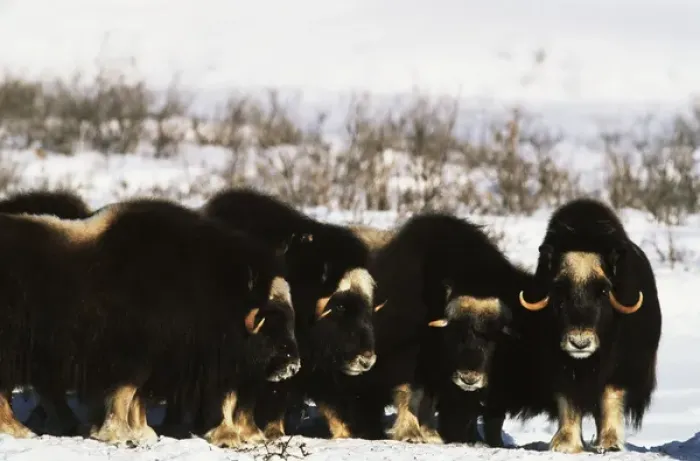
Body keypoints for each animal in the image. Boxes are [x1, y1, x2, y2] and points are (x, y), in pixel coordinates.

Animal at [0, 197, 301, 447]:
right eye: (271, 317)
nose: (292, 366)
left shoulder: (156, 359)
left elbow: (137, 400)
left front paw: (142, 432)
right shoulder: (129, 358)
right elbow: (124, 395)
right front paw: (119, 435)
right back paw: (18, 430)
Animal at [313, 213, 535, 445]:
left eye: (494, 335)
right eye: (456, 330)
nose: (470, 378)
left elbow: (429, 400)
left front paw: (431, 434)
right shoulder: (408, 359)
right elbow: (410, 392)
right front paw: (411, 434)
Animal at [508, 198, 662, 453]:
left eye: (604, 291)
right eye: (559, 290)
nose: (579, 343)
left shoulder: (622, 365)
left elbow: (610, 396)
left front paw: (610, 444)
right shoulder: (558, 366)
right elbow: (568, 399)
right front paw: (565, 444)